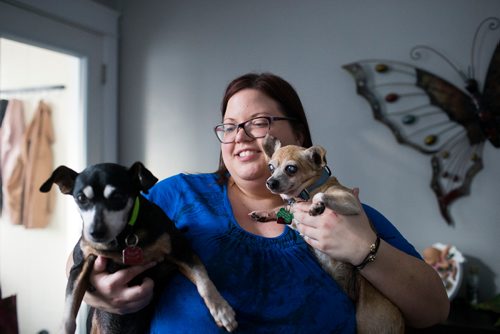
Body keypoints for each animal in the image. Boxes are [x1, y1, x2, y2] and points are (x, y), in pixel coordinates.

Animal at [39, 161, 238, 332]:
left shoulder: (179, 249)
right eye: (80, 198)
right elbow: (69, 308)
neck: (122, 238)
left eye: (118, 197)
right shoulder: (80, 265)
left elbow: (203, 281)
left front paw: (222, 310)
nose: (95, 233)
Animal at [252, 135, 404, 334]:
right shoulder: (294, 219)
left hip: (367, 317)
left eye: (291, 169)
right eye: (270, 167)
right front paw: (263, 213)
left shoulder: (350, 202)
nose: (270, 182)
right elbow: (280, 209)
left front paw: (317, 205)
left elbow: (321, 196)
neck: (306, 193)